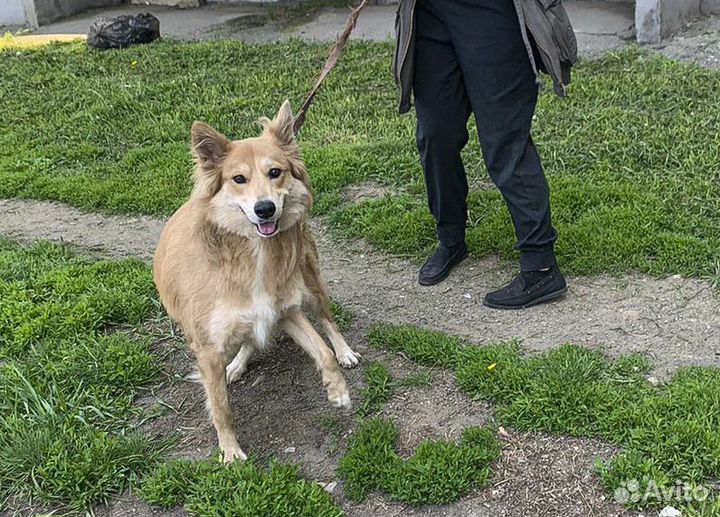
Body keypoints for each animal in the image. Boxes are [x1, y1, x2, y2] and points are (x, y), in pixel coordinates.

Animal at [153, 101, 358, 460]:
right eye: (239, 179)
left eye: (275, 172)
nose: (265, 209)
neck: (252, 254)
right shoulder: (209, 348)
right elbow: (221, 406)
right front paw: (230, 450)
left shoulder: (286, 310)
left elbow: (324, 352)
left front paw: (338, 391)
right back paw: (236, 365)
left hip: (310, 281)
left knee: (328, 321)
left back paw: (346, 351)